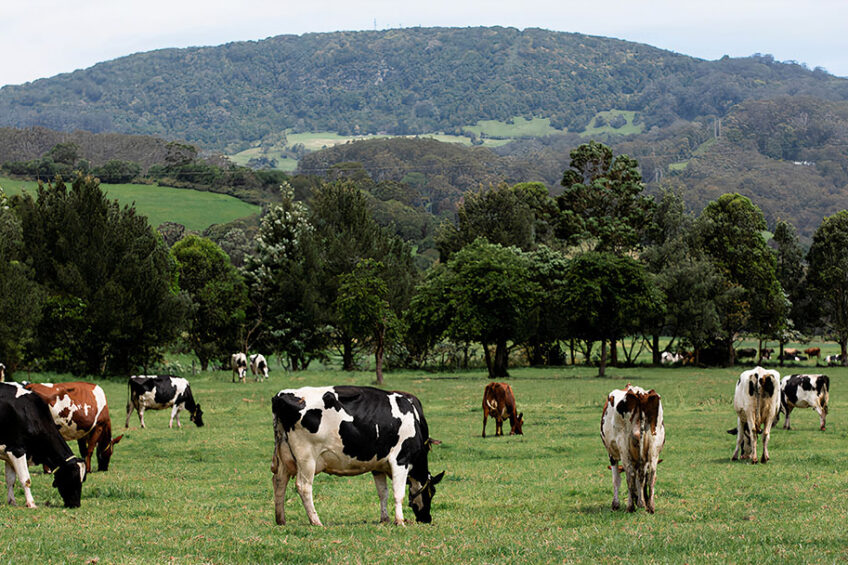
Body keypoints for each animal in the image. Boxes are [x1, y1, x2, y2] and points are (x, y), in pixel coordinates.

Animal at [272, 384, 444, 524]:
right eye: (432, 492)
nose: (427, 519)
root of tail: (281, 395)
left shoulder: (378, 466)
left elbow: (383, 493)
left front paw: (385, 519)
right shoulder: (401, 460)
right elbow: (398, 493)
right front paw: (399, 521)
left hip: (284, 455)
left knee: (279, 482)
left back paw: (281, 520)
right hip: (306, 458)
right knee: (304, 487)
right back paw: (316, 521)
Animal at [600, 384, 664, 512]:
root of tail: (638, 392)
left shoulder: (612, 454)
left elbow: (616, 479)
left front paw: (616, 504)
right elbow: (642, 479)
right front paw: (641, 500)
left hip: (623, 445)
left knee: (630, 474)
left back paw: (631, 506)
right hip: (654, 446)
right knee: (651, 475)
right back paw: (650, 506)